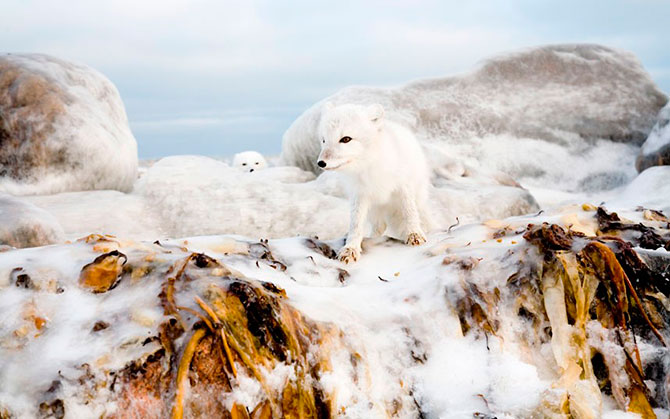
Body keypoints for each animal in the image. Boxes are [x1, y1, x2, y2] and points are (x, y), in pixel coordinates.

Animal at [318, 102, 434, 264]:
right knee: (379, 227)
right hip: (374, 210)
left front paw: (414, 234)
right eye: (324, 140)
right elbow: (355, 225)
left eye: (346, 139)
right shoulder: (360, 195)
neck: (369, 165)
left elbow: (409, 213)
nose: (321, 163)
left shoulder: (403, 187)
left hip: (418, 198)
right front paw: (350, 249)